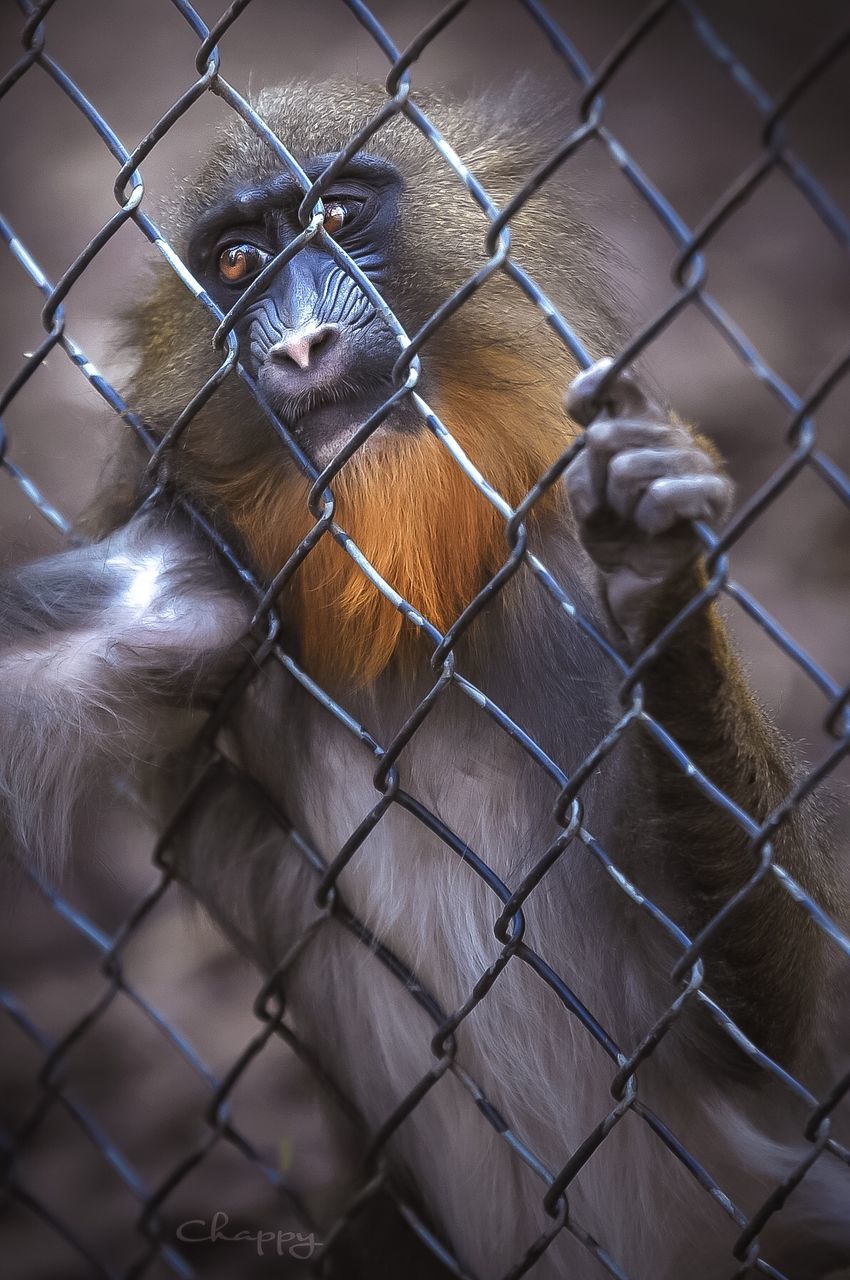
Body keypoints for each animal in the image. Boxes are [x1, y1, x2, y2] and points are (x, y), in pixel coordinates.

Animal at [1, 82, 850, 1280]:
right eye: (239, 260)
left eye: (339, 215)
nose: (302, 339)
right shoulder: (200, 577)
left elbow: (776, 1032)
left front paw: (657, 562)